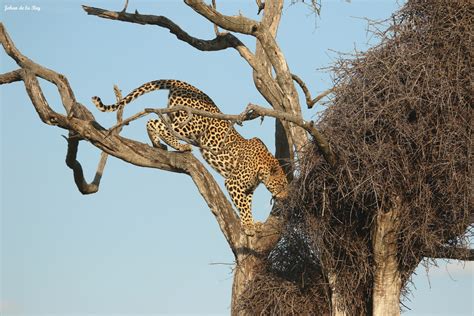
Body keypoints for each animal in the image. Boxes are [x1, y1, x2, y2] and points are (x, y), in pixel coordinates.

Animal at [90, 80, 286, 236]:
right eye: (281, 184)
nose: (284, 197)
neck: (262, 167)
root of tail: (182, 84)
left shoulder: (247, 189)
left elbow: (248, 204)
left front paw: (253, 223)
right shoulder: (234, 182)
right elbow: (243, 206)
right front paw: (248, 226)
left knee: (156, 122)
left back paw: (158, 145)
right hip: (191, 125)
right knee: (155, 122)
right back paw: (180, 146)